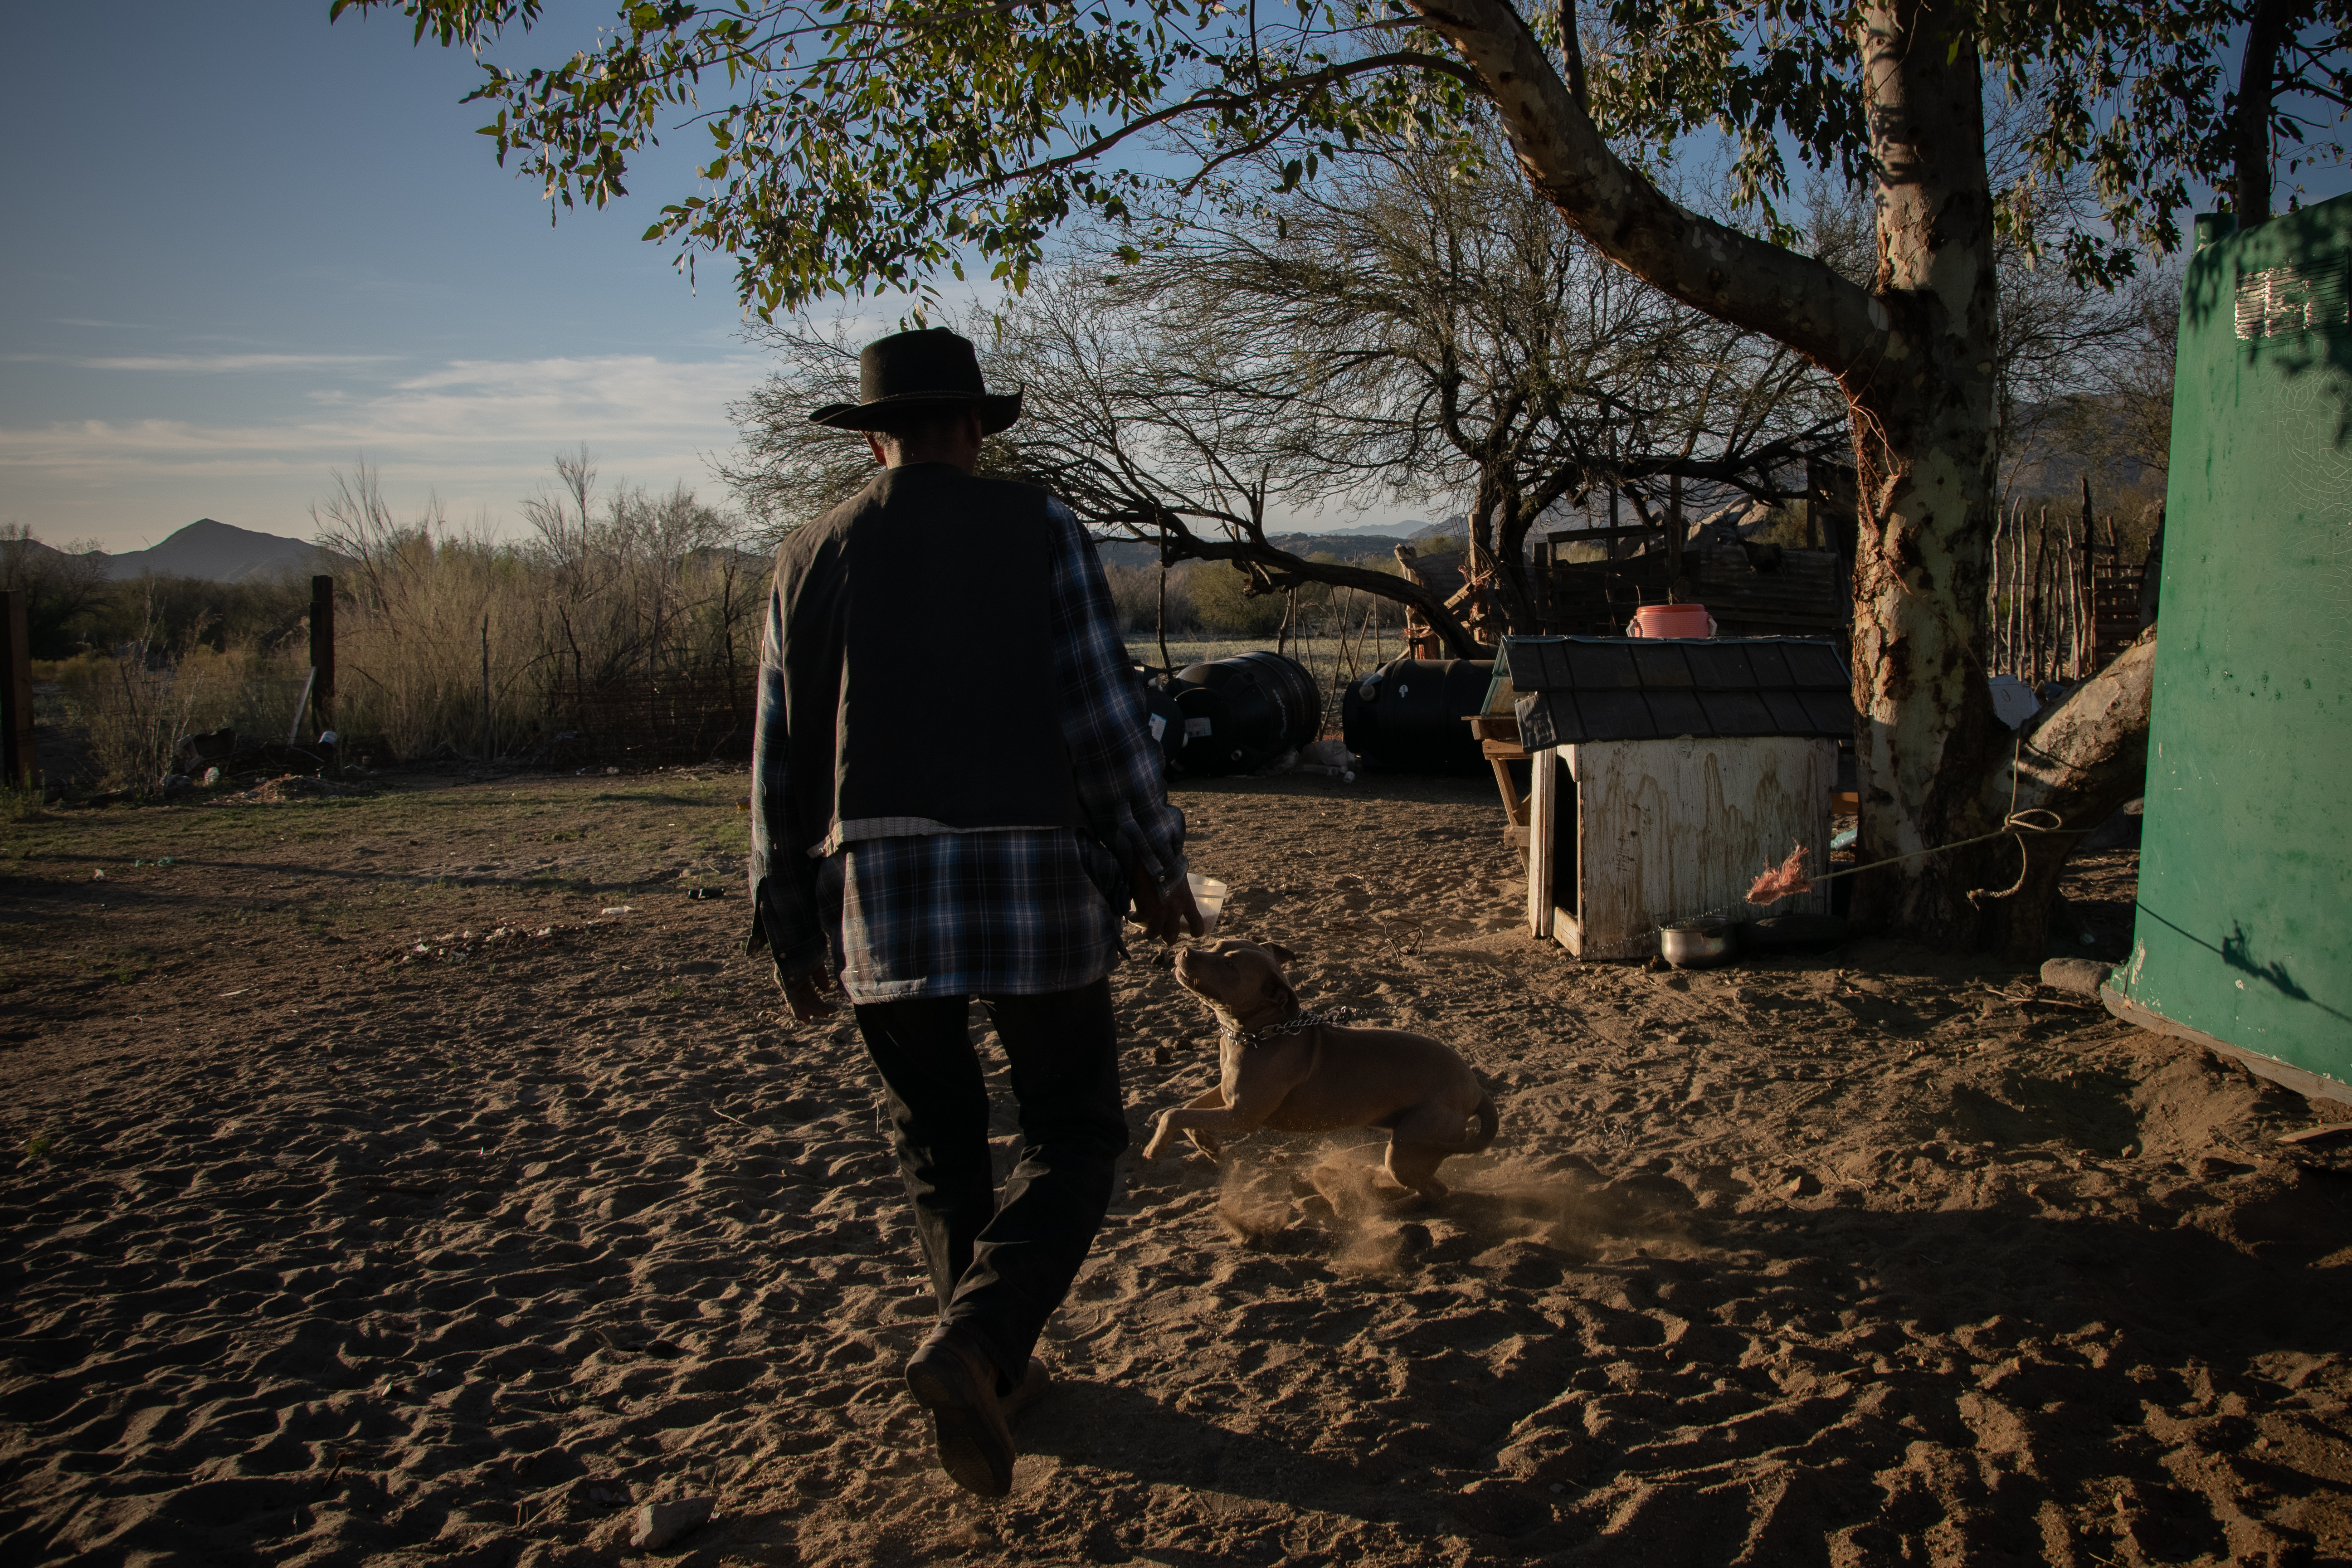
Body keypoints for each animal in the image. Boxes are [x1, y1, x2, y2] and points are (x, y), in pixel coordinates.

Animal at [1143, 945, 1495, 1203]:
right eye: (1216, 945)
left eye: (1230, 966)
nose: (1184, 950)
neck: (1259, 1033)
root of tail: (1477, 1090)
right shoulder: (1227, 1093)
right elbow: (1186, 1109)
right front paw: (1205, 1143)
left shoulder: (1242, 1115)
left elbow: (1174, 1113)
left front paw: (1155, 1147)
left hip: (1409, 1145)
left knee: (1432, 1189)